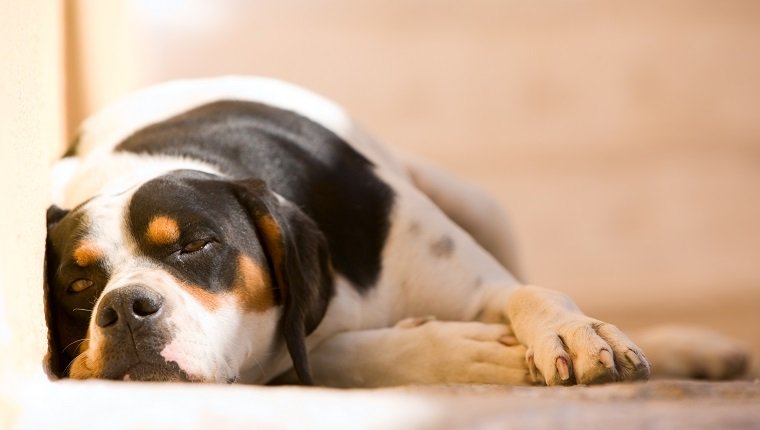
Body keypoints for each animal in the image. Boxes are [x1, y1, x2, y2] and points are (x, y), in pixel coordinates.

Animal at [44, 76, 744, 386]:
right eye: (77, 286)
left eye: (195, 245)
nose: (125, 311)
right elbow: (330, 353)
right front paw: (465, 354)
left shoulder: (474, 283)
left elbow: (531, 296)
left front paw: (574, 332)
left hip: (478, 203)